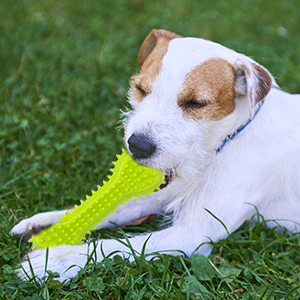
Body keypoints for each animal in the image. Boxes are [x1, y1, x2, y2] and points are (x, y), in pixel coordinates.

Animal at [11, 29, 300, 282]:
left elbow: (118, 246)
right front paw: (49, 224)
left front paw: (57, 261)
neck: (224, 143)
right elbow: (112, 206)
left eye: (196, 103)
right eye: (140, 89)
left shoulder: (191, 234)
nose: (137, 145)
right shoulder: (164, 192)